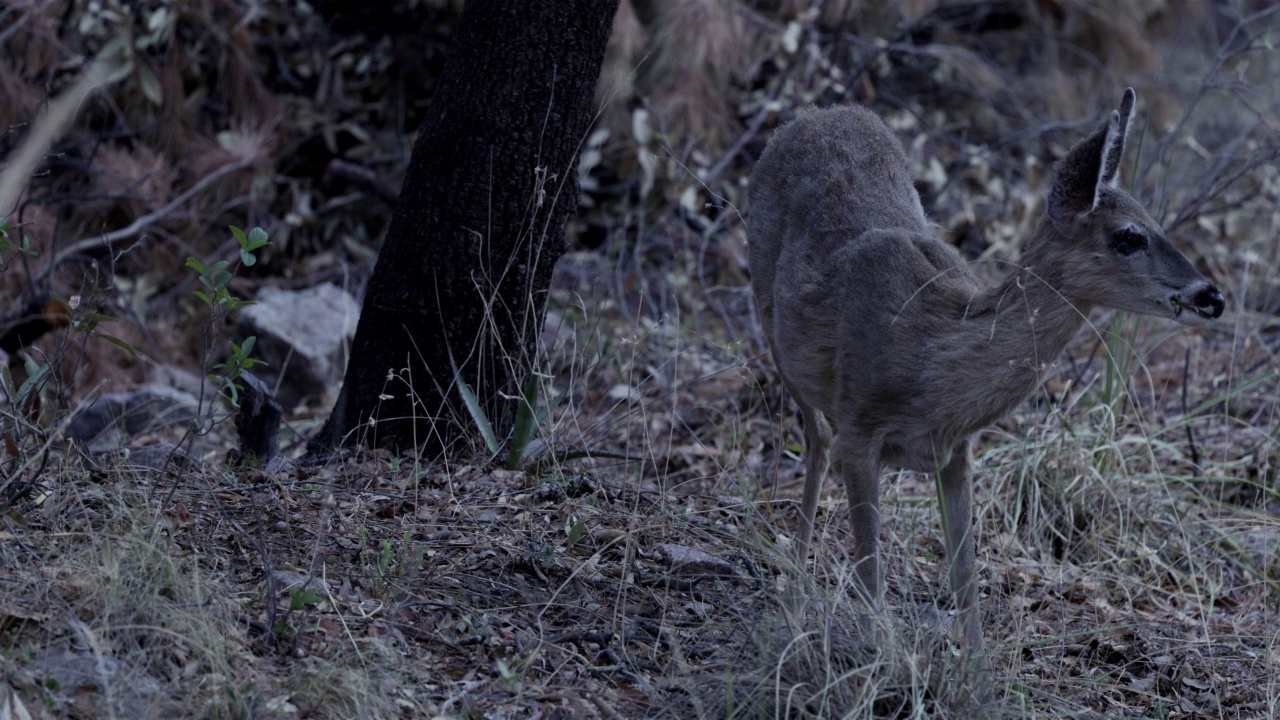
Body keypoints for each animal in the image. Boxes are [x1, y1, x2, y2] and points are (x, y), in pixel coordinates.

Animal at [747, 89, 1223, 650]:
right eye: (1128, 236)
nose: (1211, 296)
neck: (930, 360)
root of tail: (814, 114)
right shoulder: (860, 432)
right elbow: (870, 574)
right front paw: (875, 655)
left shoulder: (956, 452)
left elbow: (966, 581)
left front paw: (974, 668)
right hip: (774, 328)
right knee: (816, 441)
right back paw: (793, 600)